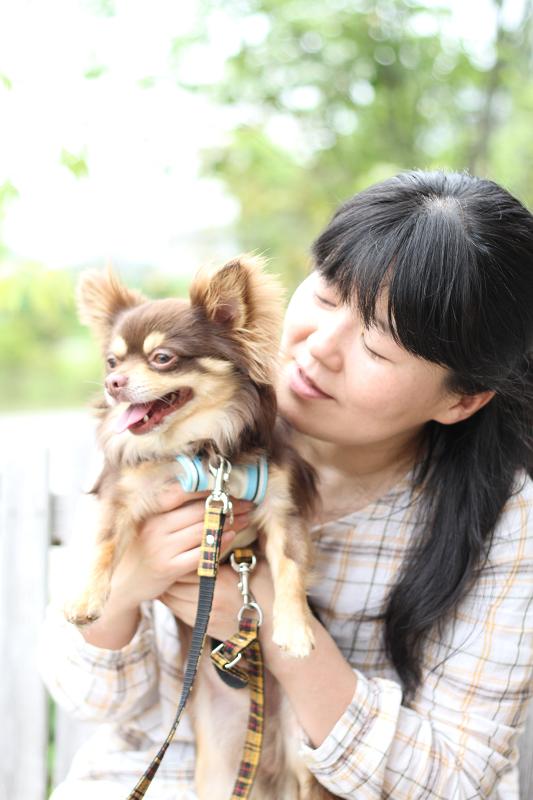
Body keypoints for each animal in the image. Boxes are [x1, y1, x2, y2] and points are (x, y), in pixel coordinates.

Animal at [65, 256, 334, 799]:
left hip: (303, 753)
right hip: (218, 763)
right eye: (112, 362)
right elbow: (105, 546)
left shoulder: (282, 508)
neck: (200, 453)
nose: (113, 385)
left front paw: (296, 628)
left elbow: (290, 568)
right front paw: (87, 600)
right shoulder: (123, 496)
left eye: (162, 358)